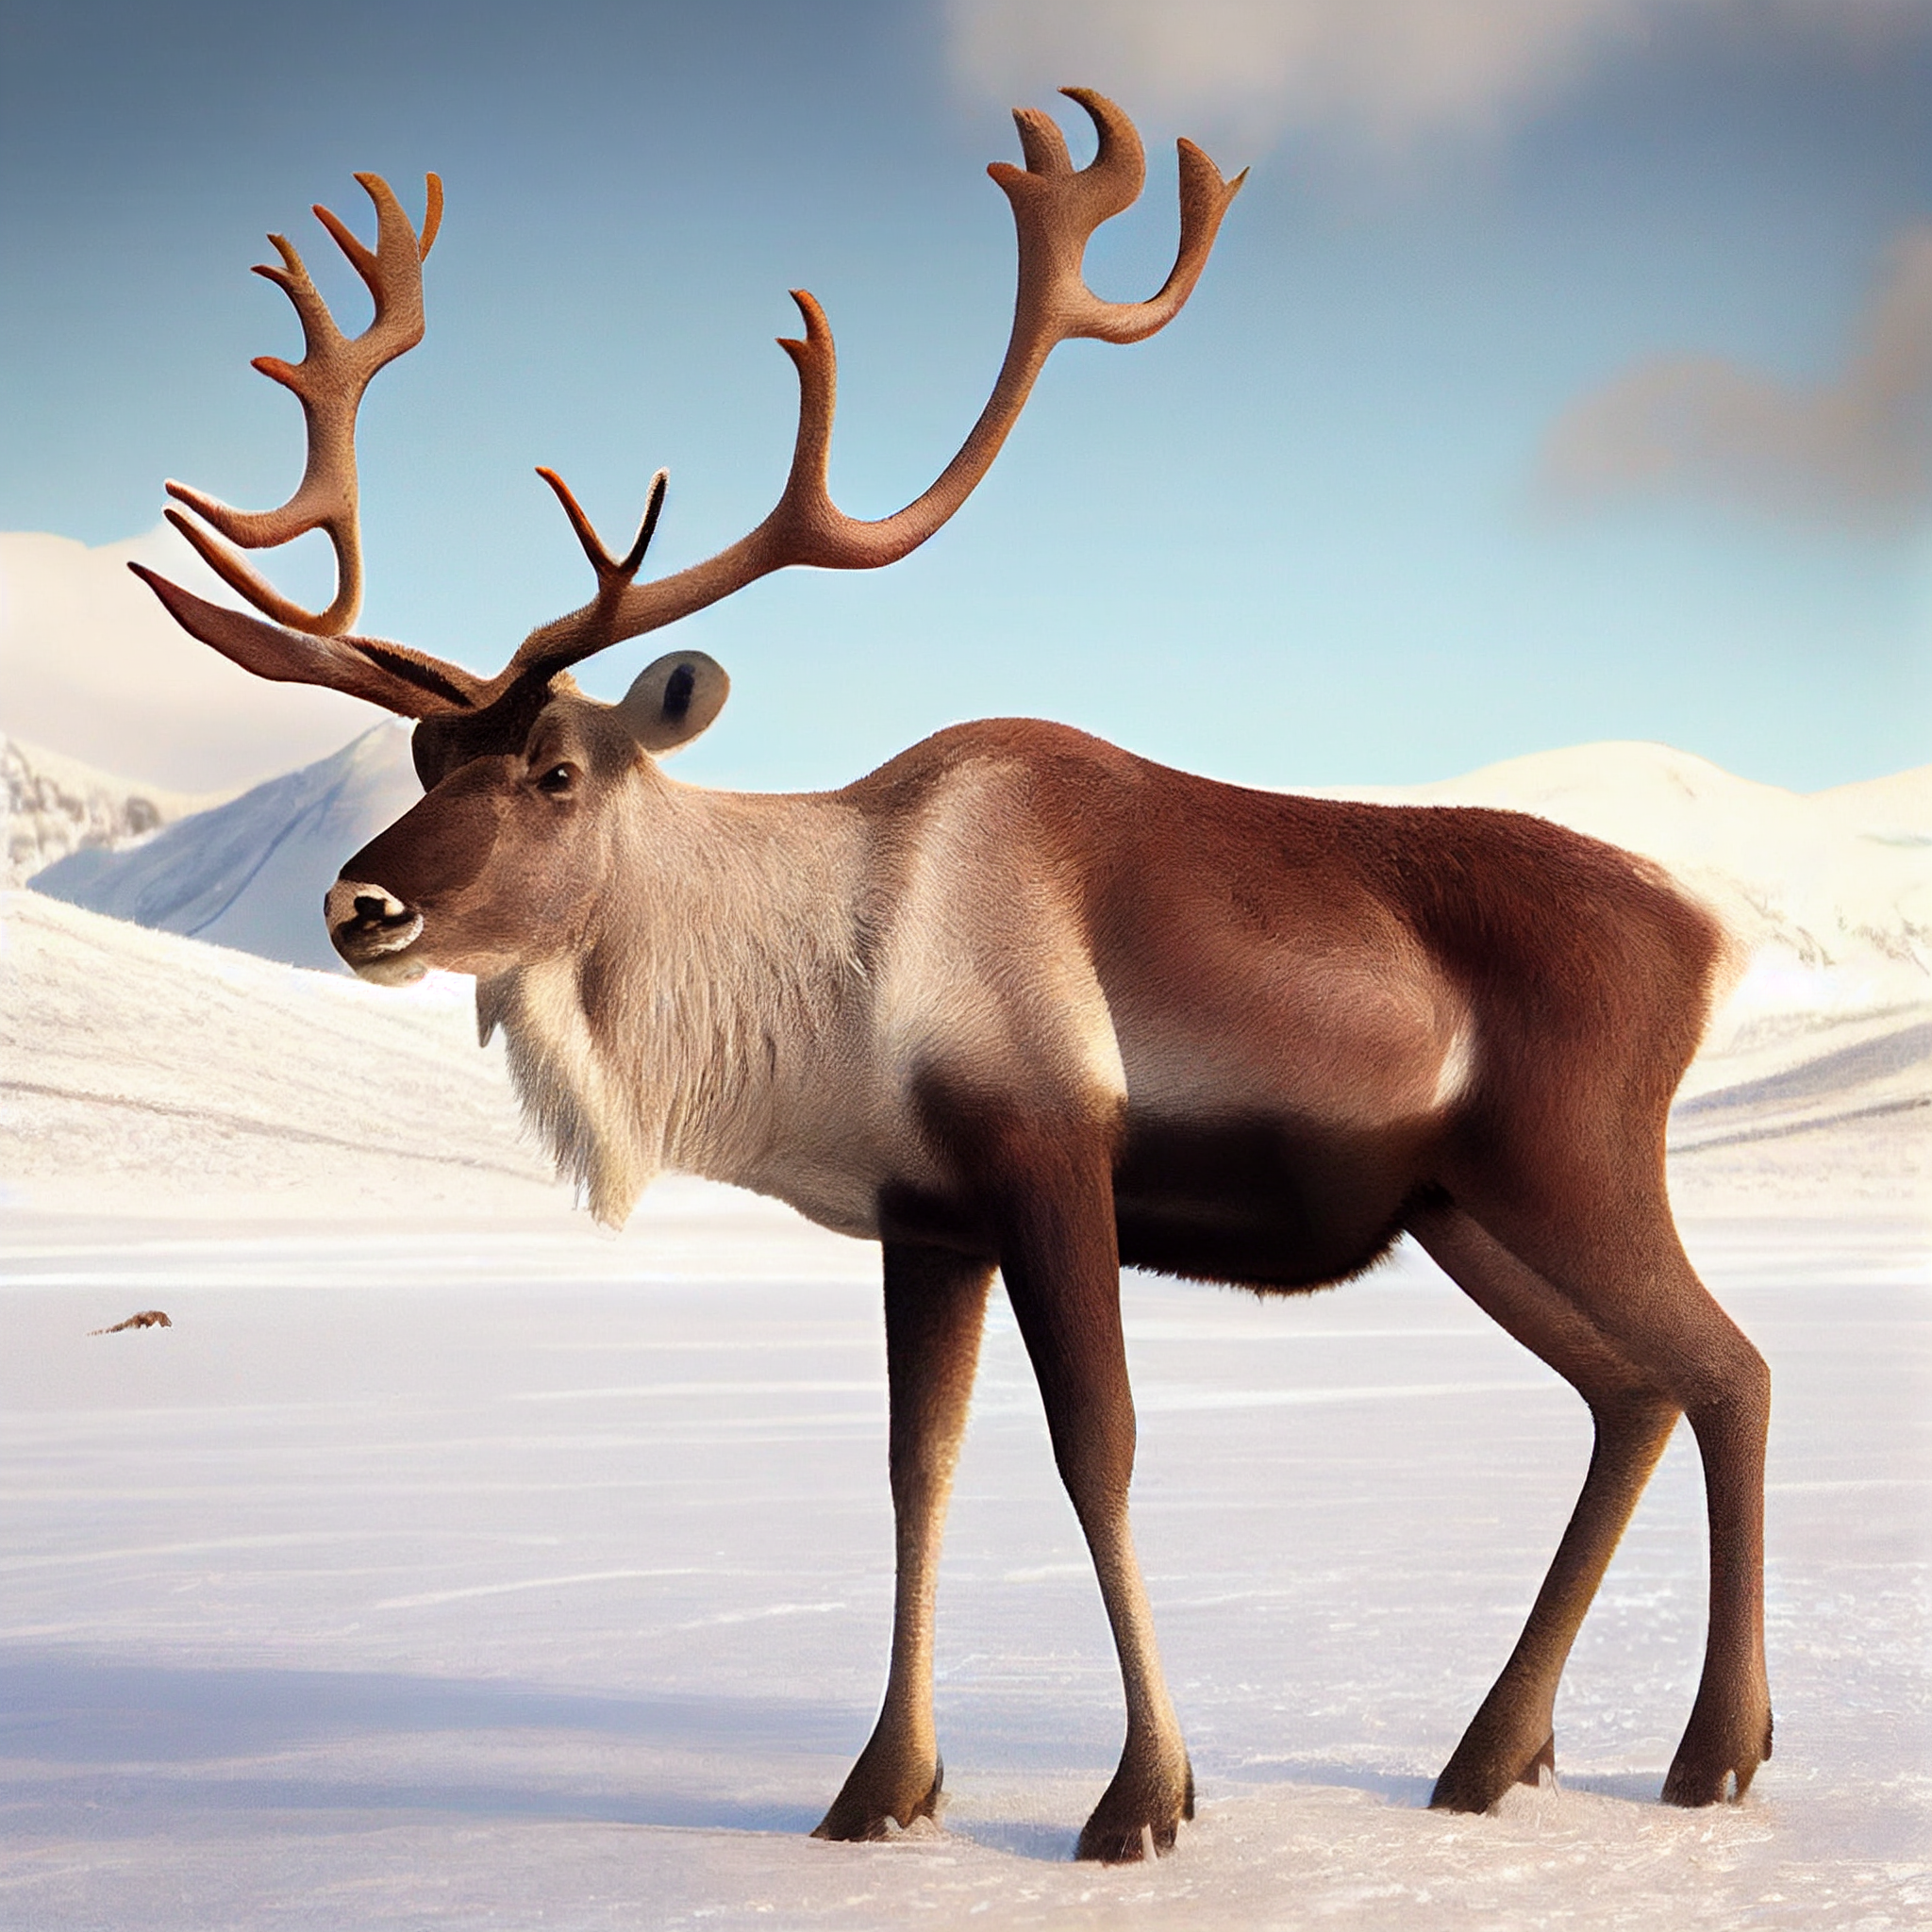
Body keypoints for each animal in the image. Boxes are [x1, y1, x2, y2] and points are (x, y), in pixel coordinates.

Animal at [130, 92, 1772, 1863]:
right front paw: (880, 1788)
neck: (827, 989)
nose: (359, 903)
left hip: (1569, 1162)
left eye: (556, 770)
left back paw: (1713, 1751)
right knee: (1631, 1393)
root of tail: (1709, 935)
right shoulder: (927, 1216)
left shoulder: (1050, 1155)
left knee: (1726, 1367)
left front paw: (1143, 1796)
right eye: (429, 755)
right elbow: (917, 1466)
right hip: (1462, 1208)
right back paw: (1492, 1755)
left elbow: (1097, 1448)